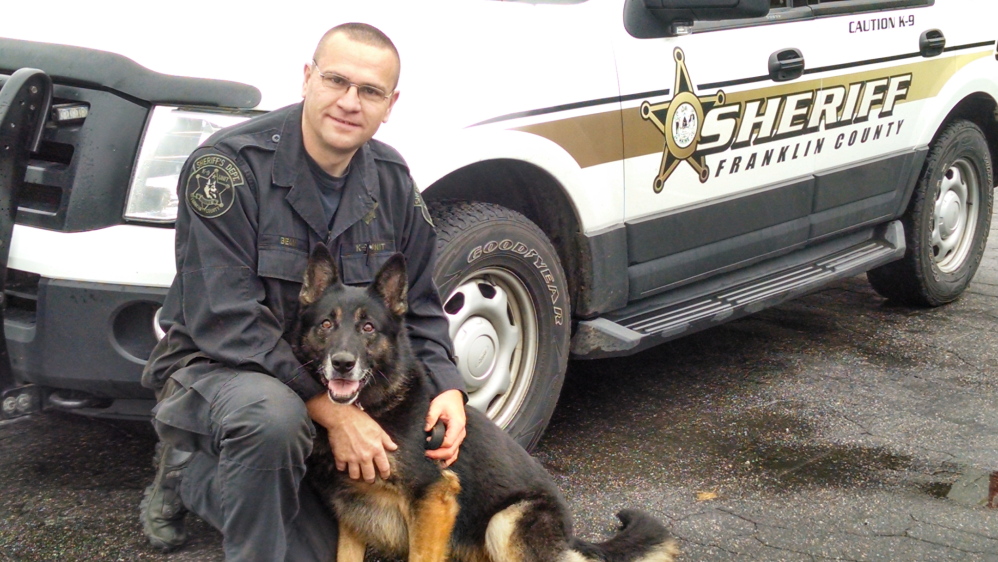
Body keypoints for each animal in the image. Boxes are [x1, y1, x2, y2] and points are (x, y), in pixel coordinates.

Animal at [292, 245, 680, 560]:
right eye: (326, 324)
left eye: (368, 328)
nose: (343, 363)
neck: (376, 408)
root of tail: (568, 536)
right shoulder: (352, 516)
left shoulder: (434, 500)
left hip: (505, 521)